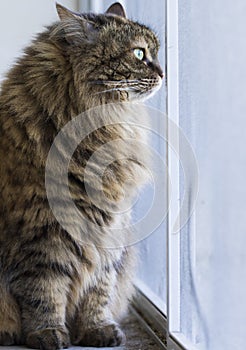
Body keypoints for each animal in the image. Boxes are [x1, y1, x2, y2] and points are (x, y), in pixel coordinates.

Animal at [0, 2, 163, 348]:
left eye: (155, 53)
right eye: (139, 54)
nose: (162, 73)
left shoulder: (109, 229)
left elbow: (99, 289)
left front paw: (97, 330)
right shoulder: (42, 231)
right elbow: (44, 292)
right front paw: (48, 334)